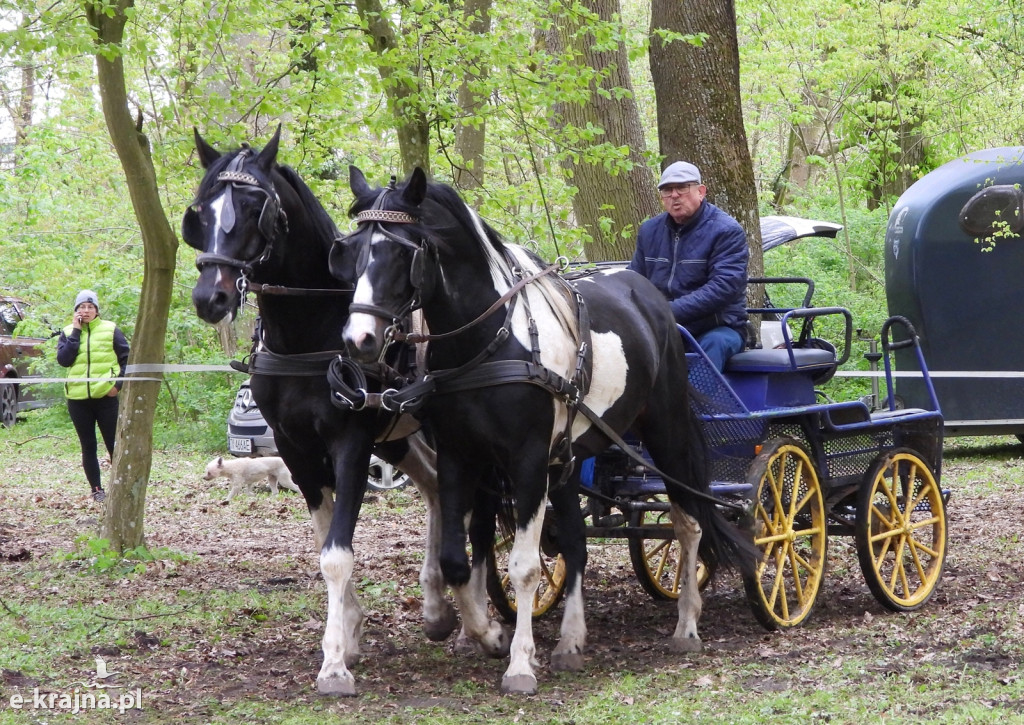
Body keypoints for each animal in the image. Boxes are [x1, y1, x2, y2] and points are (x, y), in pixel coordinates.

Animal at [183, 132, 456, 696]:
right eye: (202, 210)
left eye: (256, 208)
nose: (209, 297)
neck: (309, 331)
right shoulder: (296, 449)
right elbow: (324, 536)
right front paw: (349, 633)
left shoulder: (350, 444)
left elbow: (336, 553)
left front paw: (333, 663)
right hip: (397, 438)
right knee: (437, 487)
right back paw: (439, 605)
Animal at [331, 166, 757, 692]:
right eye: (350, 252)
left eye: (400, 252)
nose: (359, 340)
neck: (489, 341)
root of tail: (646, 292)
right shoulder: (460, 455)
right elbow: (456, 559)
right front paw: (489, 634)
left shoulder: (527, 459)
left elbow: (525, 566)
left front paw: (517, 662)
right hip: (571, 456)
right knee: (575, 541)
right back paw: (571, 640)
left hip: (666, 431)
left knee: (687, 521)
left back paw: (687, 624)